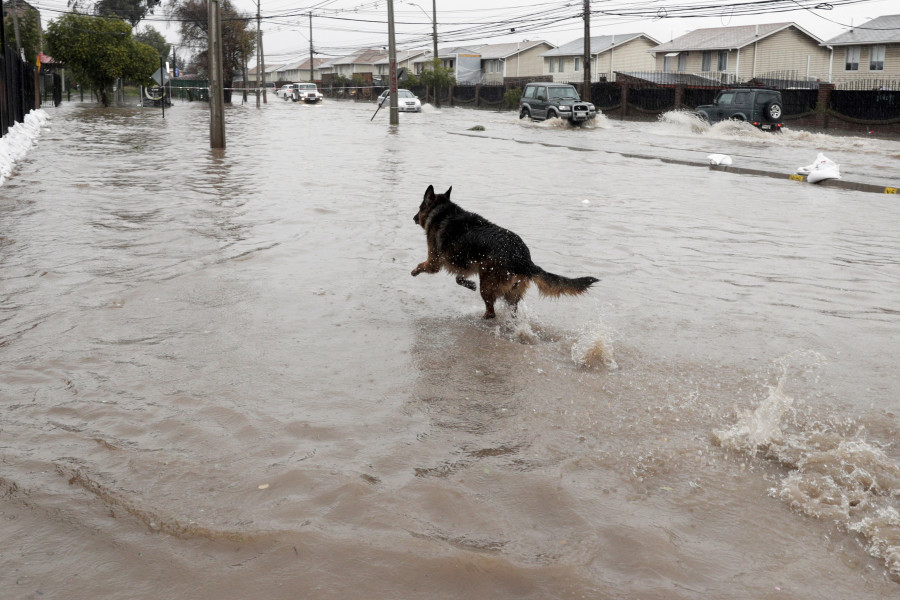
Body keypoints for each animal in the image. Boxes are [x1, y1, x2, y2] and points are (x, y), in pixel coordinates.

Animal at [414, 185, 596, 318]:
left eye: (419, 207)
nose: (414, 218)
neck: (442, 211)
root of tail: (524, 259)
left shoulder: (434, 262)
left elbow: (423, 266)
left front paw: (414, 271)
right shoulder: (468, 264)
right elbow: (460, 278)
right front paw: (469, 284)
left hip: (487, 285)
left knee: (491, 312)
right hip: (510, 292)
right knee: (512, 311)